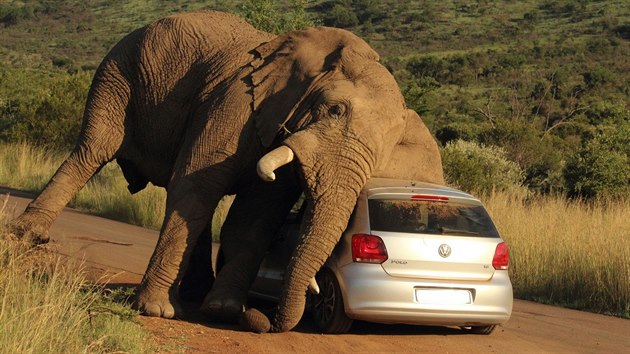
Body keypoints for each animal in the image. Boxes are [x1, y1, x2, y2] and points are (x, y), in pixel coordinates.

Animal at [9, 10, 444, 332]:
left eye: (387, 147)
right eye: (335, 110)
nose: (261, 319)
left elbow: (257, 212)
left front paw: (223, 309)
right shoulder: (237, 101)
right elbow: (198, 183)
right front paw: (158, 311)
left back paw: (195, 297)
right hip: (119, 72)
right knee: (93, 151)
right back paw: (28, 237)